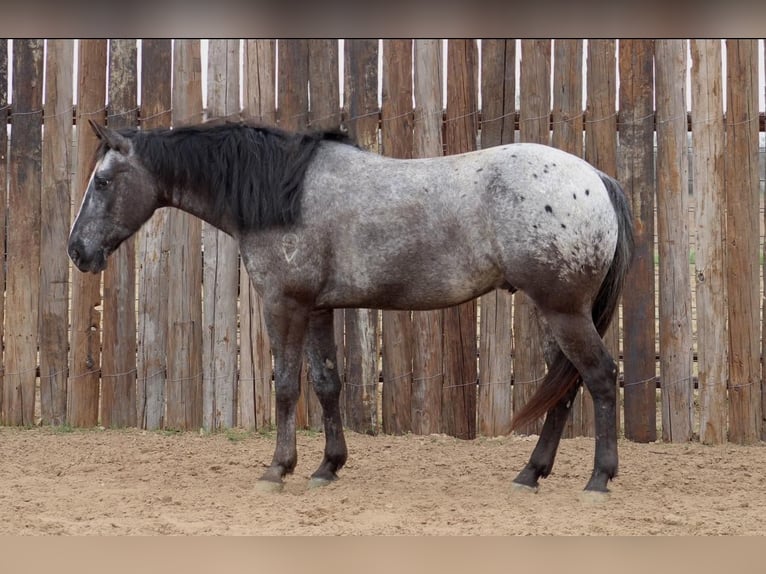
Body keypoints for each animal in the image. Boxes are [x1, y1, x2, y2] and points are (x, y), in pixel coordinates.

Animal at [69, 119, 636, 498]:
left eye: (102, 181)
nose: (77, 250)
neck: (284, 192)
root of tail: (598, 179)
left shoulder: (284, 305)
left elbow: (285, 386)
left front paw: (278, 469)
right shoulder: (318, 310)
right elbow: (326, 384)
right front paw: (327, 467)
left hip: (563, 311)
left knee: (600, 377)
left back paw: (599, 478)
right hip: (552, 315)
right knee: (565, 389)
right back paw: (530, 473)